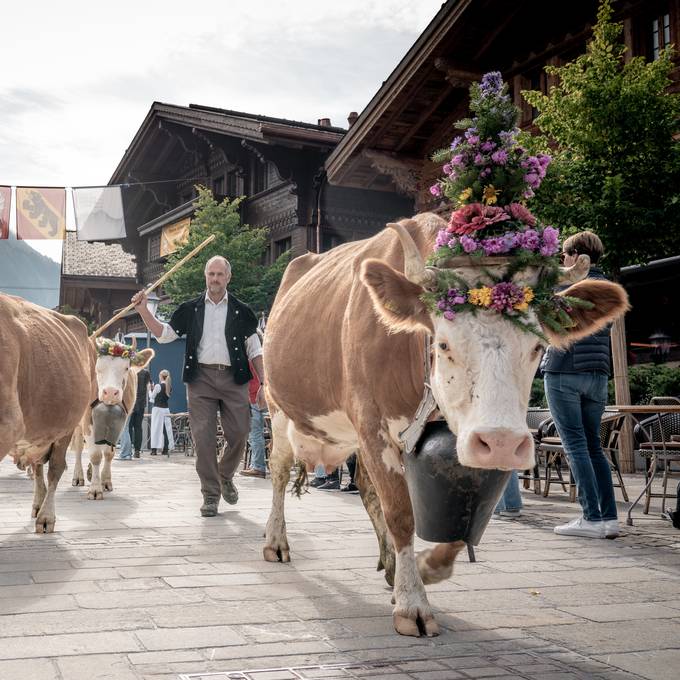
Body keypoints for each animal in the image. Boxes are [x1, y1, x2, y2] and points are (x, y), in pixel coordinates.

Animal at [0, 294, 95, 532]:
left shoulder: (8, 424)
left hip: (67, 427)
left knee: (55, 469)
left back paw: (46, 516)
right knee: (38, 467)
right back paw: (37, 504)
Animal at [73, 338, 155, 500]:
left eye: (126, 368)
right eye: (98, 368)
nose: (110, 392)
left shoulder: (121, 423)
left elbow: (108, 454)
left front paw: (105, 481)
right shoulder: (87, 420)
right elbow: (95, 455)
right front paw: (95, 489)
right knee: (79, 446)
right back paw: (78, 476)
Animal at [262, 74, 632, 636]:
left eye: (539, 346)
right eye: (442, 343)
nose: (503, 441)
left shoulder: (459, 437)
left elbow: (458, 518)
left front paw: (425, 569)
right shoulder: (372, 421)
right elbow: (402, 513)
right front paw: (412, 604)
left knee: (364, 489)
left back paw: (389, 564)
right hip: (280, 410)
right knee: (280, 473)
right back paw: (277, 542)